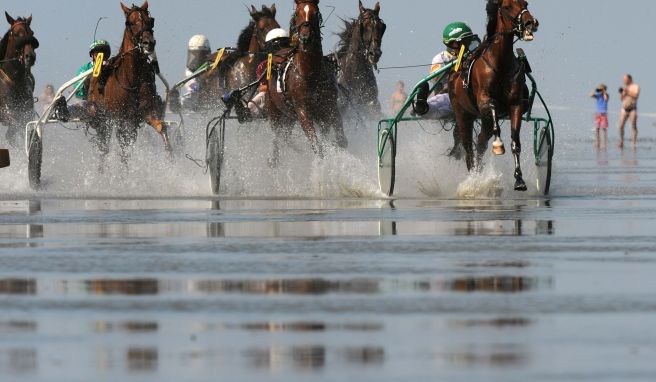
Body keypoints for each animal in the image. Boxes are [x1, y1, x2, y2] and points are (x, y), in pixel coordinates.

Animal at [0, 11, 38, 146]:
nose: (30, 57)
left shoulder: (26, 115)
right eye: (16, 34)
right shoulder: (7, 115)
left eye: (32, 33)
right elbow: (12, 133)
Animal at [86, 0, 168, 169]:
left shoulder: (146, 113)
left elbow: (162, 128)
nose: (148, 43)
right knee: (104, 149)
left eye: (151, 20)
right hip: (102, 121)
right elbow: (123, 152)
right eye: (129, 22)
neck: (132, 78)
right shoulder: (121, 120)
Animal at [266, 0, 348, 166]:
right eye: (297, 13)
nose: (306, 37)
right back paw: (274, 160)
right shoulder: (302, 111)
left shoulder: (330, 108)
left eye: (315, 13)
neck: (311, 73)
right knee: (278, 137)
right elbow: (317, 146)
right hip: (275, 112)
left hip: (290, 118)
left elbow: (340, 140)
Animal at [448, 0, 540, 191]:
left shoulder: (516, 105)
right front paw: (498, 145)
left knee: (481, 142)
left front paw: (519, 180)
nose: (530, 22)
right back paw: (473, 178)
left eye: (526, 3)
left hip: (483, 120)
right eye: (507, 6)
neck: (500, 64)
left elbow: (515, 142)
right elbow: (492, 108)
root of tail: (452, 76)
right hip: (463, 114)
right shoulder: (485, 102)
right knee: (468, 147)